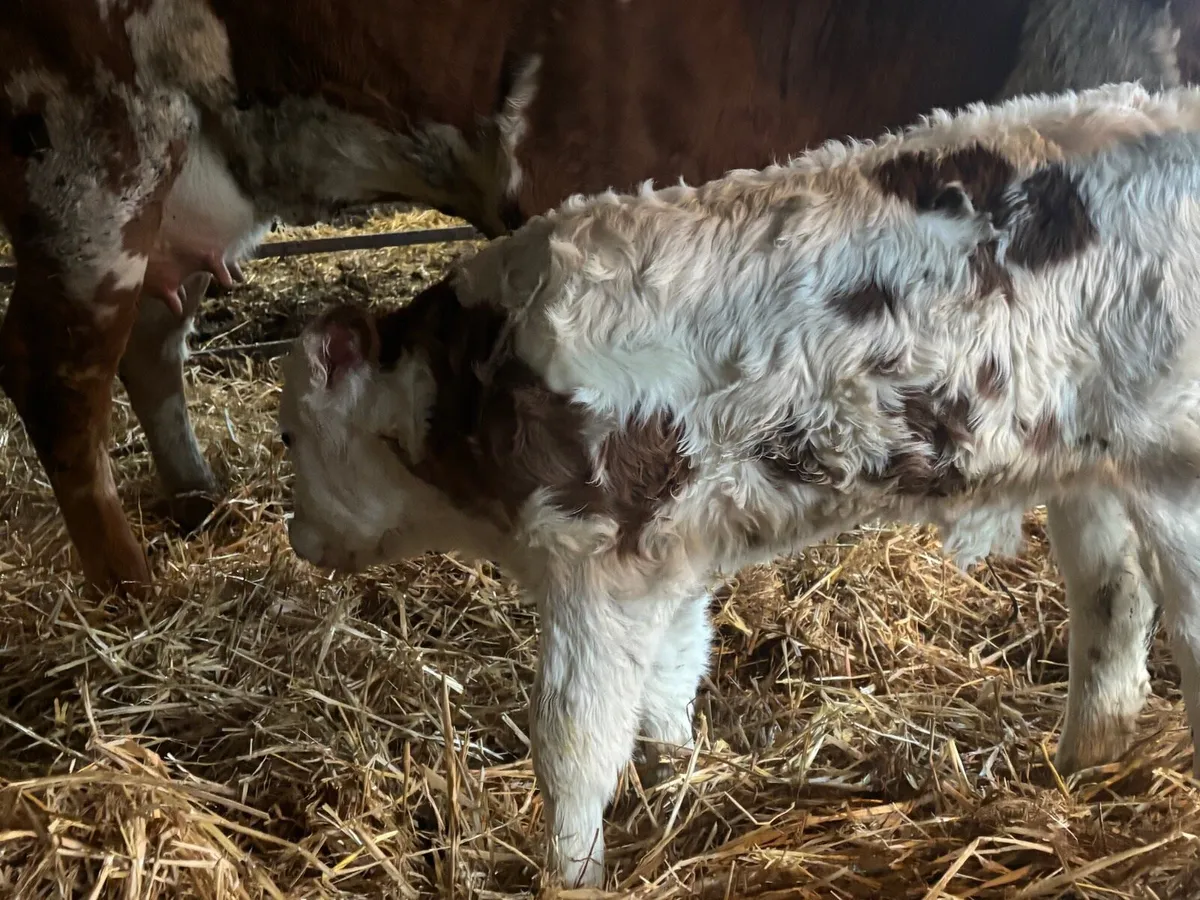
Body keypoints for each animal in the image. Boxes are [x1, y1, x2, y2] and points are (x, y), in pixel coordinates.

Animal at [277, 81, 1200, 886]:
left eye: (289, 434)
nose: (295, 538)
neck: (478, 378)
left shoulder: (594, 558)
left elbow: (572, 741)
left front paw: (569, 872)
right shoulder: (668, 557)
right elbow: (668, 681)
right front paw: (677, 784)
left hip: (1175, 466)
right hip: (1087, 462)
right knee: (1114, 599)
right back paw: (1082, 762)